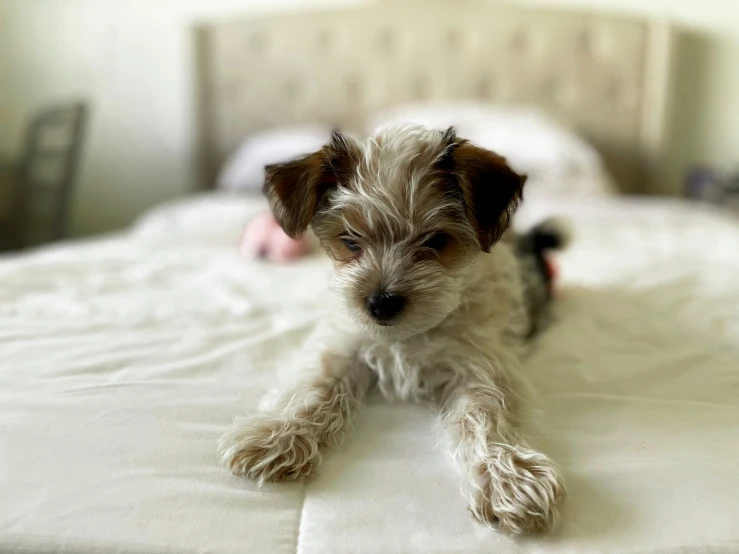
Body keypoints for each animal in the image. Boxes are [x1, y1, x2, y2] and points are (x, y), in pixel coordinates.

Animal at [218, 126, 568, 536]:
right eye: (350, 240)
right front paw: (278, 435)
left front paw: (509, 478)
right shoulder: (344, 344)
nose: (381, 303)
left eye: (436, 241)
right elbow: (314, 389)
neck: (406, 337)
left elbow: (485, 416)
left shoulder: (479, 366)